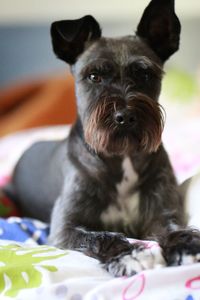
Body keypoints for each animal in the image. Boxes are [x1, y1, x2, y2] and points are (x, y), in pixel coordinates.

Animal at [3, 0, 200, 276]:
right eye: (93, 76)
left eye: (145, 74)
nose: (125, 116)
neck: (122, 157)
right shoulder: (65, 228)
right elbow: (100, 237)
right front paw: (130, 255)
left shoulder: (162, 213)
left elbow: (173, 229)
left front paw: (186, 246)